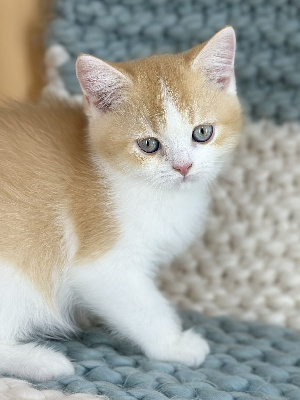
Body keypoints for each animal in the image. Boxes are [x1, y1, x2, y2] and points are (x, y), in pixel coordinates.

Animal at [0, 27, 241, 382]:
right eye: (149, 144)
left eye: (202, 132)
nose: (183, 167)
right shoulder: (103, 267)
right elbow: (144, 307)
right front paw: (175, 345)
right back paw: (44, 362)